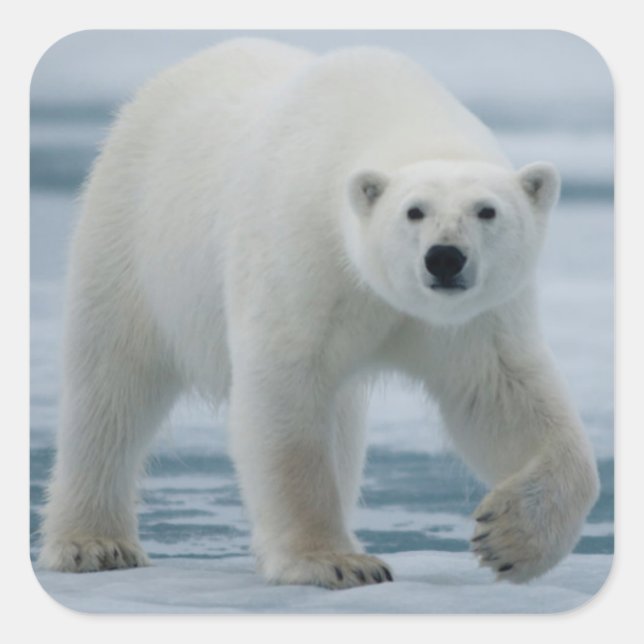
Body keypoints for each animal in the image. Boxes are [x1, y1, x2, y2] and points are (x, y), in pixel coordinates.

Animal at [37, 38, 599, 589]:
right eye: (413, 211)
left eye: (487, 210)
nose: (444, 257)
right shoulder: (303, 253)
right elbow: (286, 394)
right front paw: (334, 561)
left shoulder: (473, 320)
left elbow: (501, 395)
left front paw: (510, 539)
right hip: (132, 237)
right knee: (110, 388)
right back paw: (94, 545)